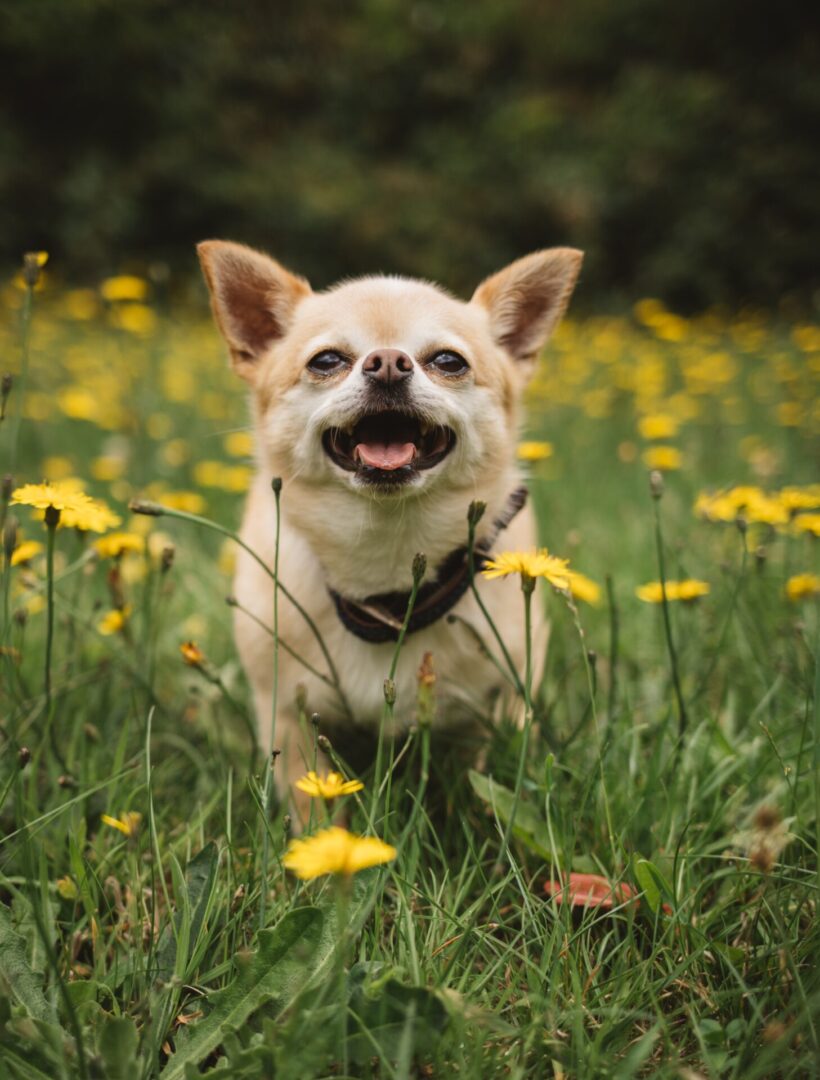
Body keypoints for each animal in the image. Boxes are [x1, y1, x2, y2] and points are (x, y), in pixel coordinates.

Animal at [198, 243, 583, 816]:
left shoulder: (507, 701)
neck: (388, 566)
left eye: (448, 361)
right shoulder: (287, 715)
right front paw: (319, 839)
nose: (386, 362)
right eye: (326, 361)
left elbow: (492, 782)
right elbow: (312, 801)